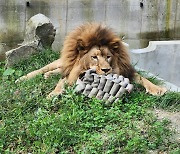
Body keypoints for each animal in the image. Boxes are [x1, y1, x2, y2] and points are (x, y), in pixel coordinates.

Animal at [16, 22, 167, 97]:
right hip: (59, 62)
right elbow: (61, 81)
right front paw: (54, 93)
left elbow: (142, 78)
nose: (106, 70)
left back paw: (48, 75)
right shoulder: (72, 72)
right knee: (44, 69)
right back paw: (22, 79)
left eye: (108, 56)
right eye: (94, 57)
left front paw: (157, 89)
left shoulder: (127, 70)